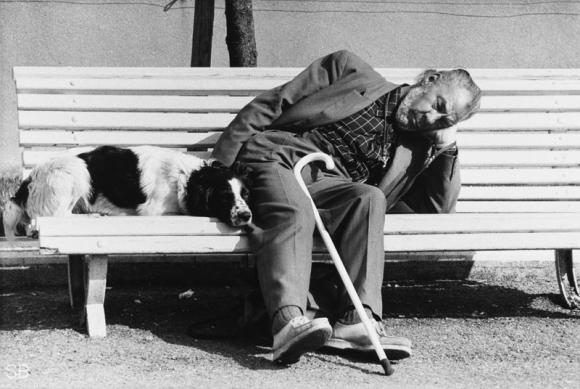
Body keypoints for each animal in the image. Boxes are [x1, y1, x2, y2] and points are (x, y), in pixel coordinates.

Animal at [2, 144, 251, 238]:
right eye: (224, 197)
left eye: (245, 194)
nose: (246, 215)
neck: (184, 177)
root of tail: (28, 180)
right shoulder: (152, 212)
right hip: (78, 171)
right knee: (54, 217)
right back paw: (94, 215)